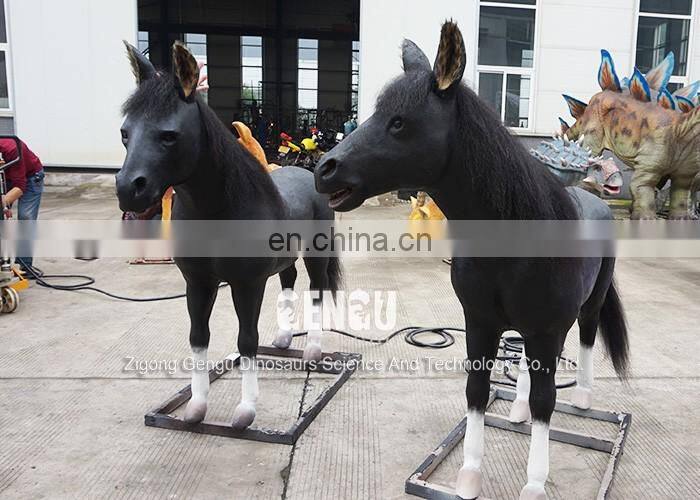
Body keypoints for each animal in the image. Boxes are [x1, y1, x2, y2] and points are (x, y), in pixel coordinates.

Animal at [115, 41, 341, 430]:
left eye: (169, 135)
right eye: (125, 132)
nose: (129, 190)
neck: (221, 210)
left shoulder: (247, 284)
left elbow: (247, 340)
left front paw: (245, 412)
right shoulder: (198, 282)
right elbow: (198, 337)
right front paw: (196, 408)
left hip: (317, 252)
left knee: (315, 288)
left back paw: (312, 349)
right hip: (285, 258)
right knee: (288, 279)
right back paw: (284, 339)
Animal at [314, 22, 629, 500]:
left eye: (399, 122)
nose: (324, 169)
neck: (513, 243)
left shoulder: (545, 326)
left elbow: (547, 401)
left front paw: (534, 484)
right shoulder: (481, 322)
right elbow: (478, 390)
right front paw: (469, 475)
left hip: (586, 309)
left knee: (587, 342)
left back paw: (584, 399)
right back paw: (516, 409)